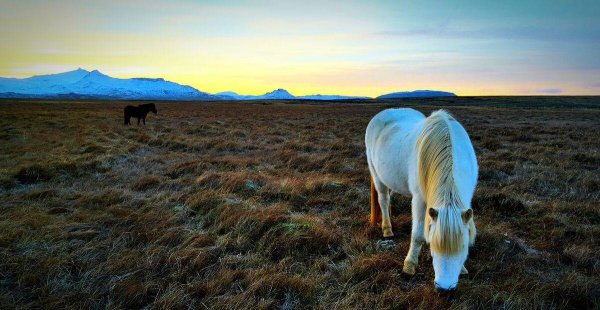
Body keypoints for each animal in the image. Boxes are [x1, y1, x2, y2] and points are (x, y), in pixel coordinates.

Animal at [366, 108, 478, 292]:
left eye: (462, 247)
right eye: (433, 245)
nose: (444, 289)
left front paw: (462, 268)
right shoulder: (419, 200)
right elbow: (417, 235)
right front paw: (409, 265)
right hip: (377, 175)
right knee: (383, 199)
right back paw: (387, 229)